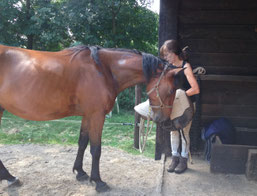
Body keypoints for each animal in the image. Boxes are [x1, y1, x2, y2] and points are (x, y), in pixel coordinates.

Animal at [0, 44, 182, 191]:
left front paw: (80, 172)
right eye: (171, 90)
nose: (165, 121)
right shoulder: (96, 116)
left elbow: (82, 142)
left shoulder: (87, 115)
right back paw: (9, 177)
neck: (103, 70)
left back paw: (10, 178)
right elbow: (96, 149)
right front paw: (99, 182)